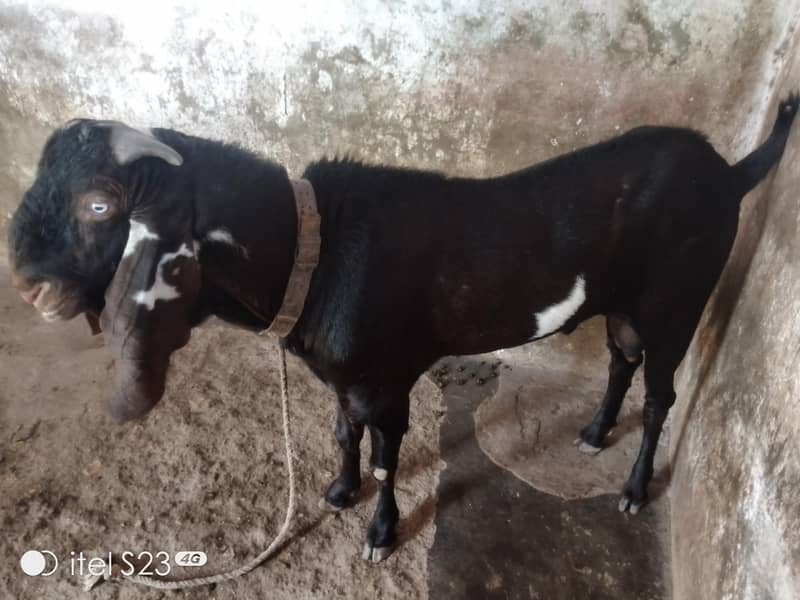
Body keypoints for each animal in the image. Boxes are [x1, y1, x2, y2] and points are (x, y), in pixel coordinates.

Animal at [8, 94, 798, 562]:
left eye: (101, 205)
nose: (28, 283)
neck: (316, 250)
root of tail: (728, 173)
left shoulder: (387, 379)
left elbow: (388, 456)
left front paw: (379, 534)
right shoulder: (344, 375)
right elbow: (341, 431)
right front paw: (337, 491)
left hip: (675, 301)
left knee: (661, 391)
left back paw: (634, 489)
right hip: (627, 307)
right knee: (619, 360)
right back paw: (595, 432)